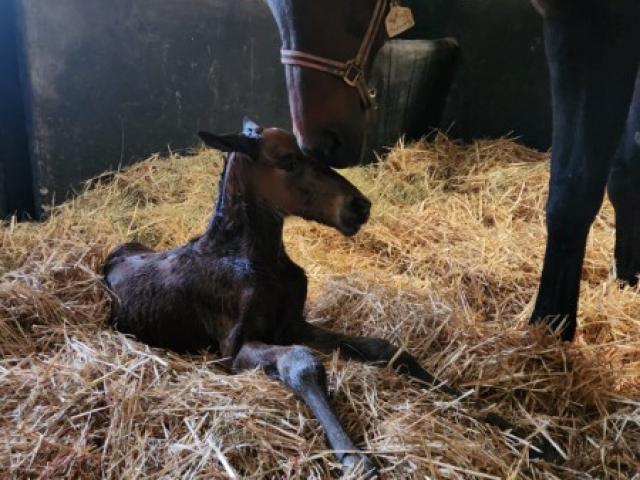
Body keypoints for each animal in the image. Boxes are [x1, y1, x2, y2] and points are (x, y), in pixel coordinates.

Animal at [104, 118, 556, 474]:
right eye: (287, 160)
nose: (360, 207)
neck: (255, 259)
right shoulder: (232, 350)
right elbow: (300, 363)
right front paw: (356, 460)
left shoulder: (293, 324)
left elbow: (381, 347)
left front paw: (517, 429)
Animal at [264, 0, 640, 342]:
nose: (318, 143)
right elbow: (626, 171)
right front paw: (628, 277)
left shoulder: (593, 26)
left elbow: (573, 192)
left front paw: (550, 327)